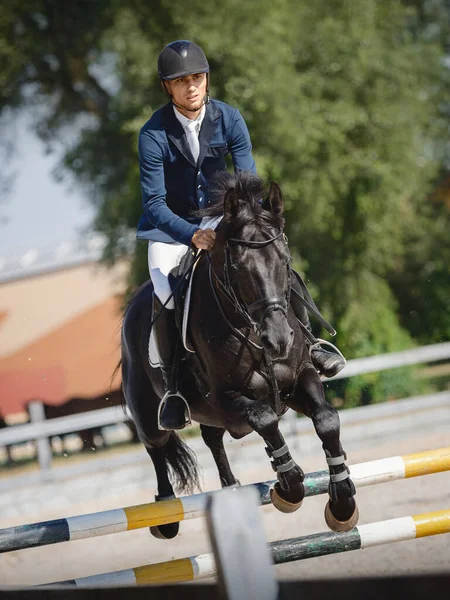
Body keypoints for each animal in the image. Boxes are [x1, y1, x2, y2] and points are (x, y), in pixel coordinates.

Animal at [120, 172, 358, 540]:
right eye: (238, 267)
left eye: (285, 261)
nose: (278, 340)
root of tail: (132, 306)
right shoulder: (226, 399)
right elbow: (265, 419)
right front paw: (290, 487)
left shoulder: (298, 379)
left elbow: (327, 419)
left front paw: (342, 502)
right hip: (151, 414)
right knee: (156, 447)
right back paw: (166, 516)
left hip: (210, 414)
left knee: (212, 438)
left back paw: (231, 488)